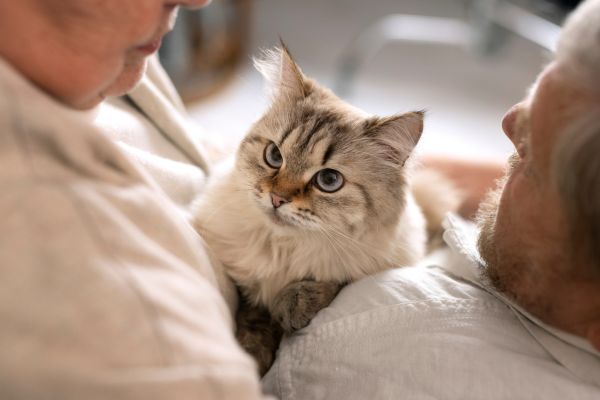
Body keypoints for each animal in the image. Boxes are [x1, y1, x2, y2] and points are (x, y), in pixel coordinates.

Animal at [195, 43, 452, 376]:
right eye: (274, 156)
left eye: (328, 180)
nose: (277, 198)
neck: (285, 248)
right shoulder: (243, 287)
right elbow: (251, 317)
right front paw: (253, 354)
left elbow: (333, 283)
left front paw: (295, 303)